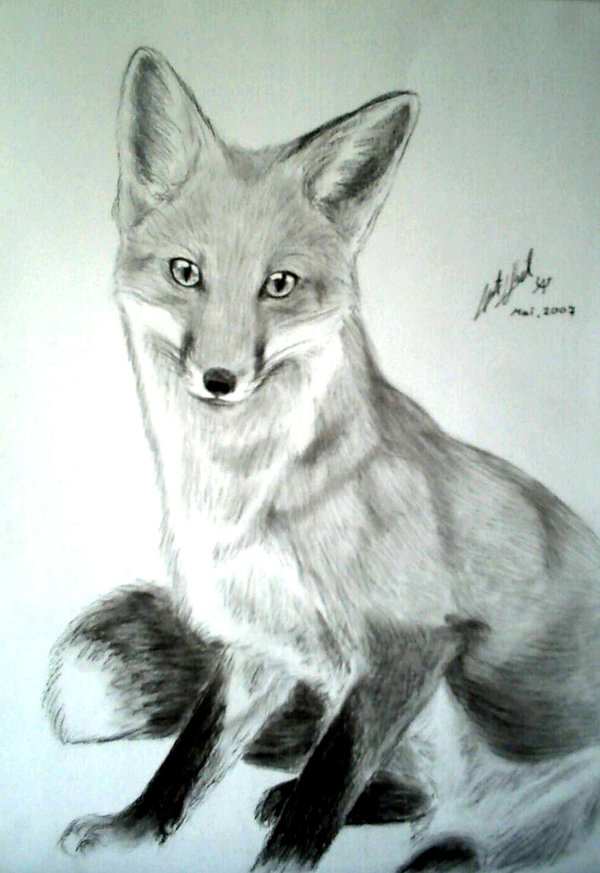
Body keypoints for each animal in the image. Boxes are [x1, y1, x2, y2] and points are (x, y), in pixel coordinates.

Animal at [44, 47, 600, 872]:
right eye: (185, 272)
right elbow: (188, 761)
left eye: (279, 284)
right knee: (412, 796)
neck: (242, 498)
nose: (219, 379)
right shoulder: (261, 649)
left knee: (460, 838)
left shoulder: (412, 645)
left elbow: (317, 805)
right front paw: (133, 830)